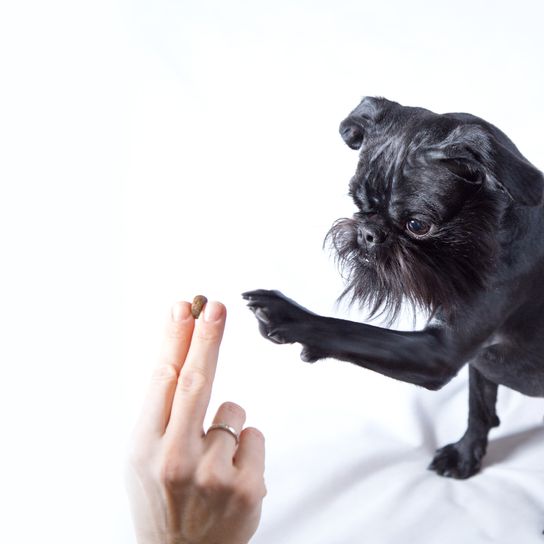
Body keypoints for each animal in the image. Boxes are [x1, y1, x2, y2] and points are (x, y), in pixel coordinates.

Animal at [243, 98, 544, 480]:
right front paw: (466, 454)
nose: (368, 233)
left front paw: (289, 316)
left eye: (417, 225)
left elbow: (352, 333)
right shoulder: (478, 365)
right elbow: (478, 408)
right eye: (359, 205)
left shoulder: (438, 352)